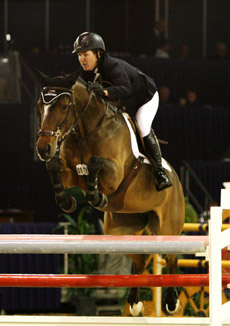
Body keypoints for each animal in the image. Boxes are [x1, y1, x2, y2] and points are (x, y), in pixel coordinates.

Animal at [35, 70, 185, 316]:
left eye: (64, 106)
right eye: (41, 105)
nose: (43, 148)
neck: (86, 130)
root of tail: (177, 180)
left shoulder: (115, 175)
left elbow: (95, 163)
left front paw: (97, 196)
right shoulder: (71, 175)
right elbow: (54, 166)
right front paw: (66, 201)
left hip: (167, 227)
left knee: (172, 257)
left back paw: (172, 302)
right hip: (121, 229)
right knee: (140, 258)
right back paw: (134, 302)